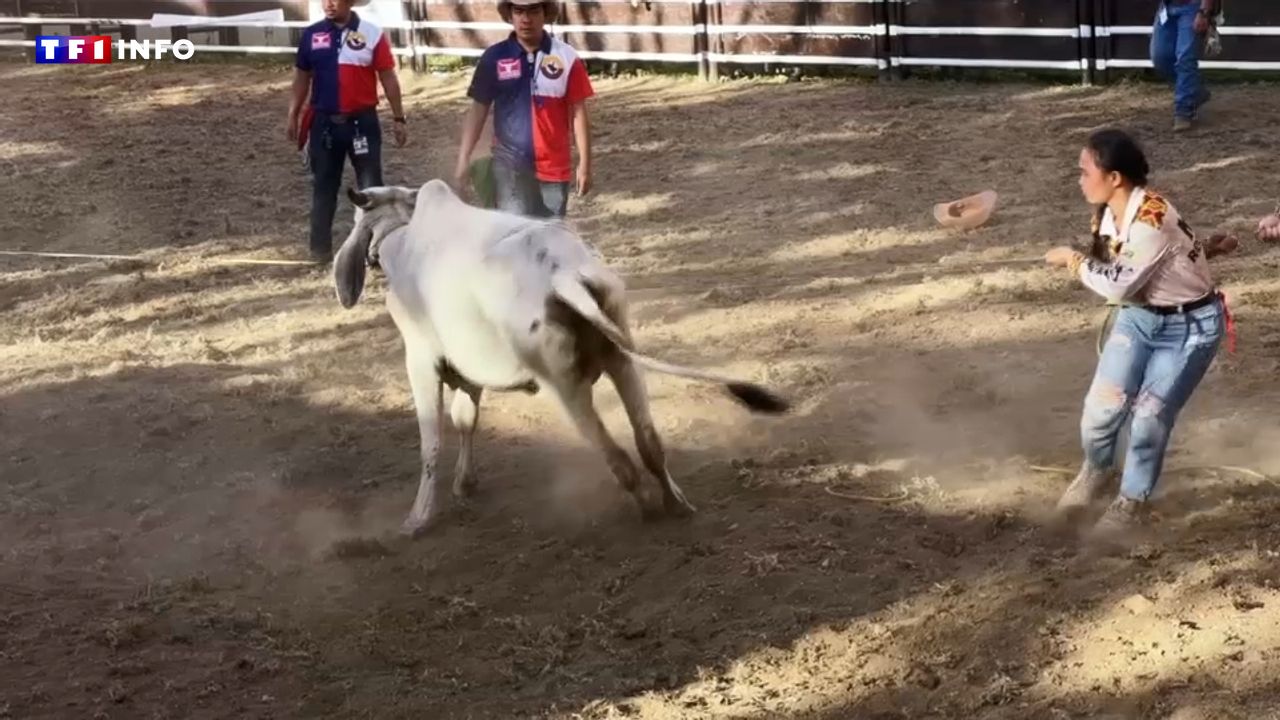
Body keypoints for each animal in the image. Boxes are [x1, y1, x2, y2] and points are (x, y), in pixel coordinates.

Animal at [330, 180, 788, 532]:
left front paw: (418, 517)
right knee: (648, 442)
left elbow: (432, 441)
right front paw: (465, 483)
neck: (401, 236)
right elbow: (465, 419)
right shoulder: (467, 370)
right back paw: (675, 502)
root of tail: (562, 274)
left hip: (564, 385)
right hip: (622, 358)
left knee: (618, 458)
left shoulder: (422, 360)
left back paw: (648, 506)